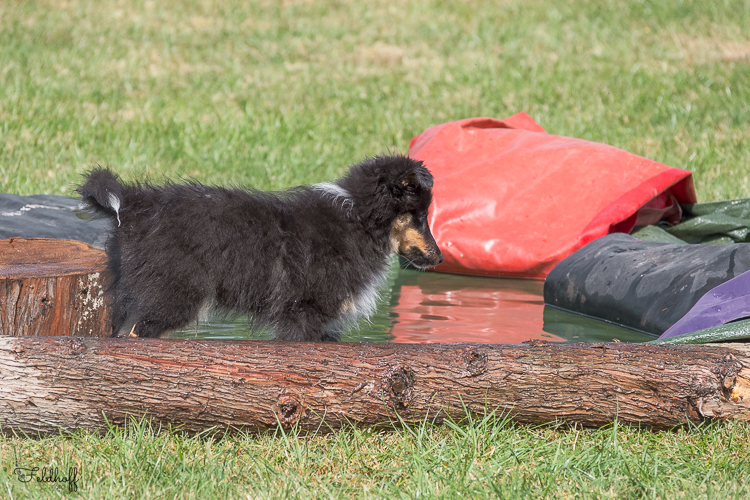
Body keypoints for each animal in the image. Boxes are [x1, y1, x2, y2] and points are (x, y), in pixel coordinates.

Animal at [79, 155, 443, 341]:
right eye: (420, 216)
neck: (359, 219)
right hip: (170, 295)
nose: (439, 257)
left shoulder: (324, 324)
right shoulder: (304, 313)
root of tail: (134, 201)